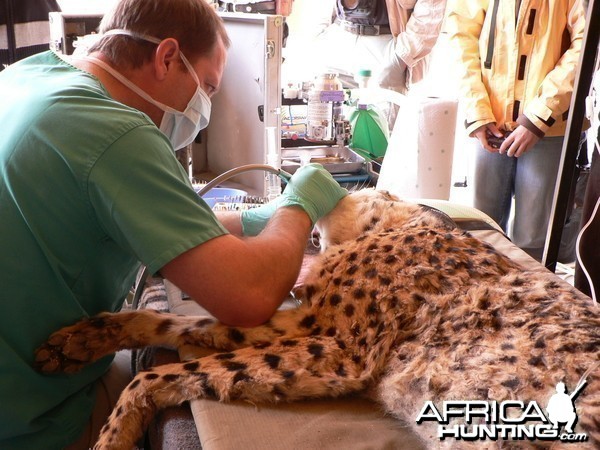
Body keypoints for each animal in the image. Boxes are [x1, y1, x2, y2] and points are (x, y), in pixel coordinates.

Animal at [34, 188, 600, 448]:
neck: (399, 224)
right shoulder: (307, 327)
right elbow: (182, 328)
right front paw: (80, 340)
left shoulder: (338, 351)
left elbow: (163, 372)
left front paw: (114, 433)